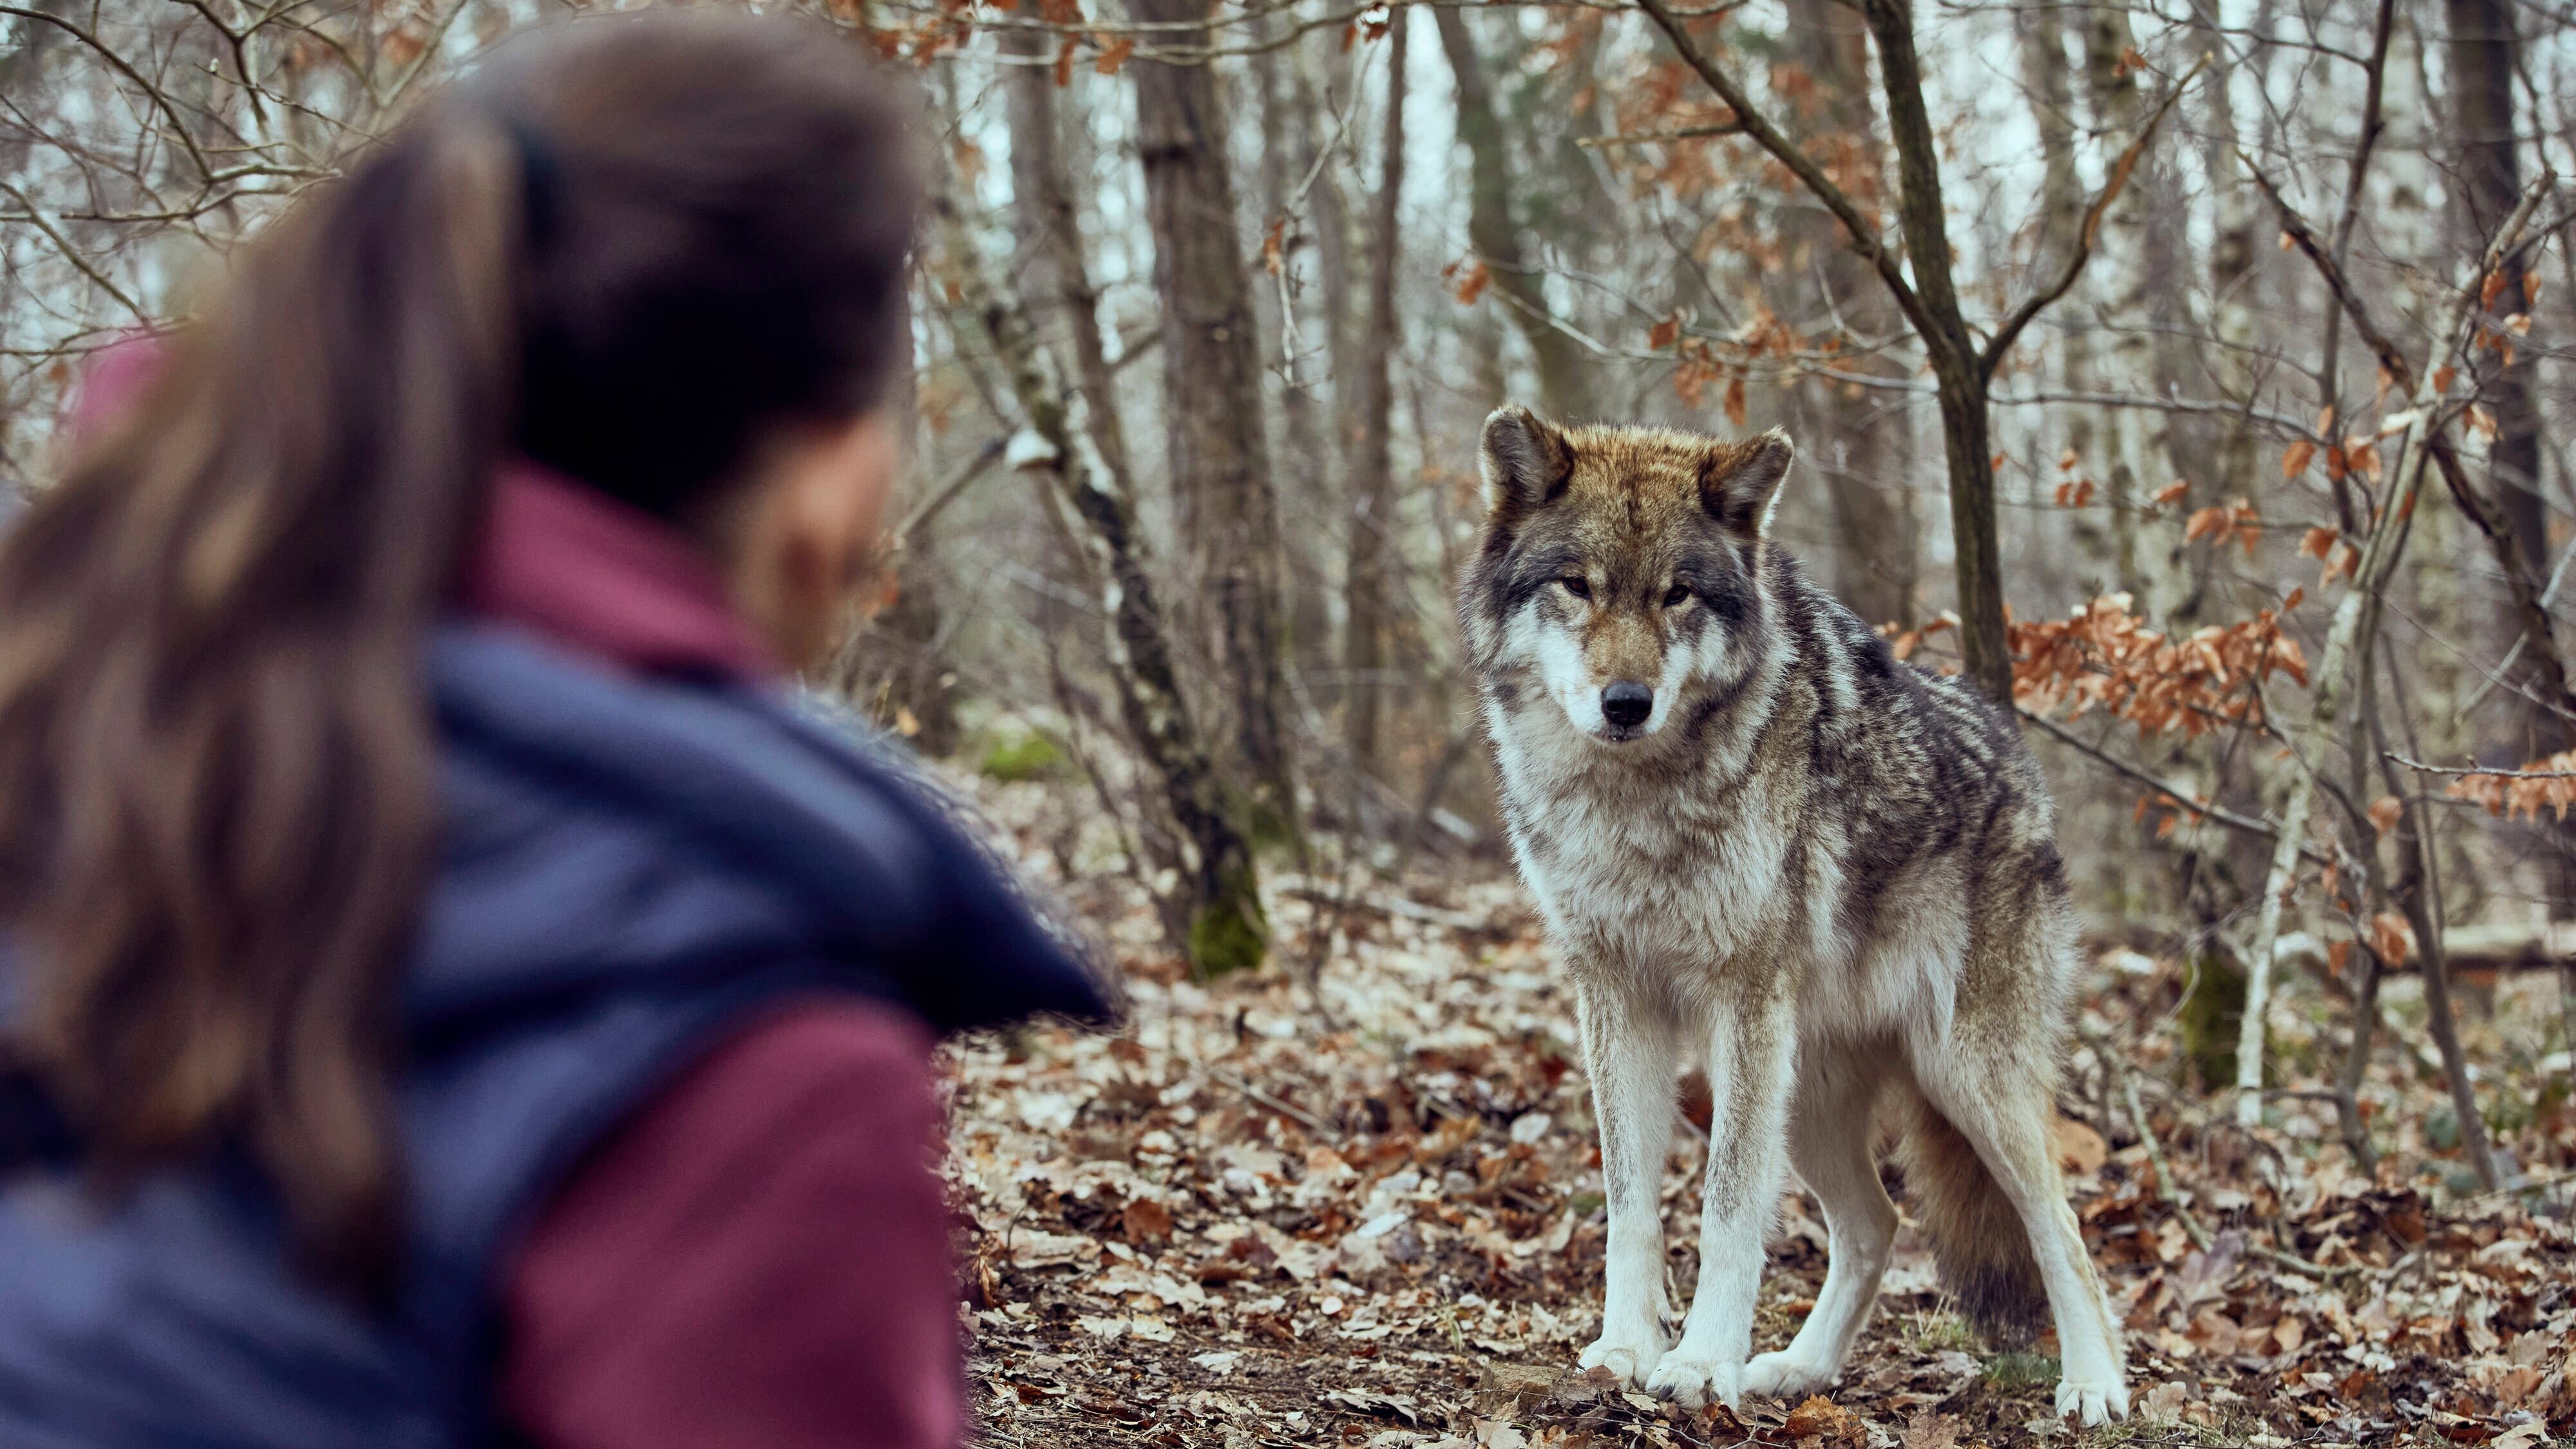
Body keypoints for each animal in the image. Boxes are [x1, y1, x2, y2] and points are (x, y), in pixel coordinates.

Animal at [1463, 407, 2123, 1423]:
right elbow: (1629, 1203)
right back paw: (1802, 1369)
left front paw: (1701, 1364)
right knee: (1877, 1224)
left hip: (1961, 1076)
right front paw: (1628, 1350)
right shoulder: (1615, 995)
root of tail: (2021, 763)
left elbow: (1728, 1206)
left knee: (2062, 1227)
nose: (1627, 702)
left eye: (1678, 595)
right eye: (1578, 587)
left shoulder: (1742, 998)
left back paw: (2093, 1385)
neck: (1634, 802)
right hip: (1805, 1090)